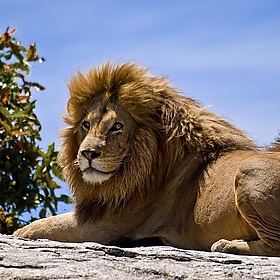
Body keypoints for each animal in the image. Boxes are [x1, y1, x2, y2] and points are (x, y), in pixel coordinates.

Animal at [14, 61, 280, 256]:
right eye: (86, 125)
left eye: (117, 127)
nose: (87, 153)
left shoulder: (102, 227)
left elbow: (40, 226)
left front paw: (18, 233)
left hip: (249, 169)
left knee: (274, 246)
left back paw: (226, 245)